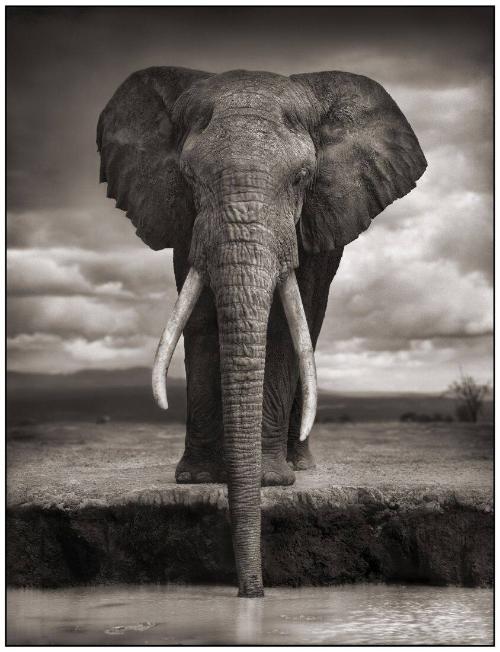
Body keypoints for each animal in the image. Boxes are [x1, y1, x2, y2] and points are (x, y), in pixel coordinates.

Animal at [97, 67, 426, 597]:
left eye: (302, 178)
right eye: (189, 177)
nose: (252, 591)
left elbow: (283, 330)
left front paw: (271, 482)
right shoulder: (184, 220)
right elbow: (201, 318)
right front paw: (198, 479)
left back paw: (300, 466)